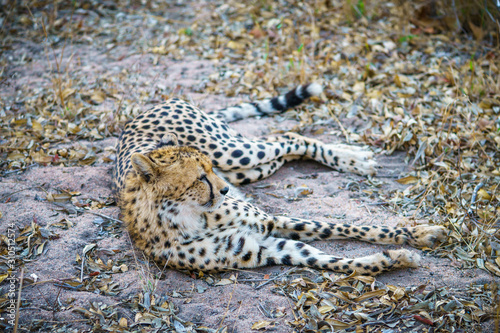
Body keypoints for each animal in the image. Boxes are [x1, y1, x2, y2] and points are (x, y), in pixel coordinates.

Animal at [114, 83, 450, 274]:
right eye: (200, 178)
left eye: (208, 170)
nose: (224, 190)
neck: (187, 216)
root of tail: (146, 110)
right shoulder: (265, 248)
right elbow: (331, 260)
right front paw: (395, 259)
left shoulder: (268, 221)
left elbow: (346, 226)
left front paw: (420, 234)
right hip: (245, 169)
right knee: (282, 149)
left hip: (233, 153)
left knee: (288, 138)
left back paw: (353, 159)